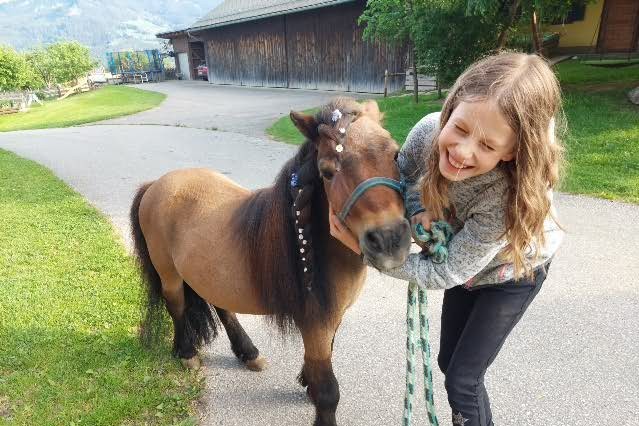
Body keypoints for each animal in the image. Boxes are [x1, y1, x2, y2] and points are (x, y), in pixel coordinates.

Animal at [130, 97, 412, 426]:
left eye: (396, 154)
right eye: (327, 171)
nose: (389, 240)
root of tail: (155, 184)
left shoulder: (332, 318)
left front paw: (308, 382)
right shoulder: (316, 321)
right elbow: (329, 392)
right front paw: (317, 393)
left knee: (222, 307)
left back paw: (248, 352)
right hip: (170, 275)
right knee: (176, 306)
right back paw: (186, 352)